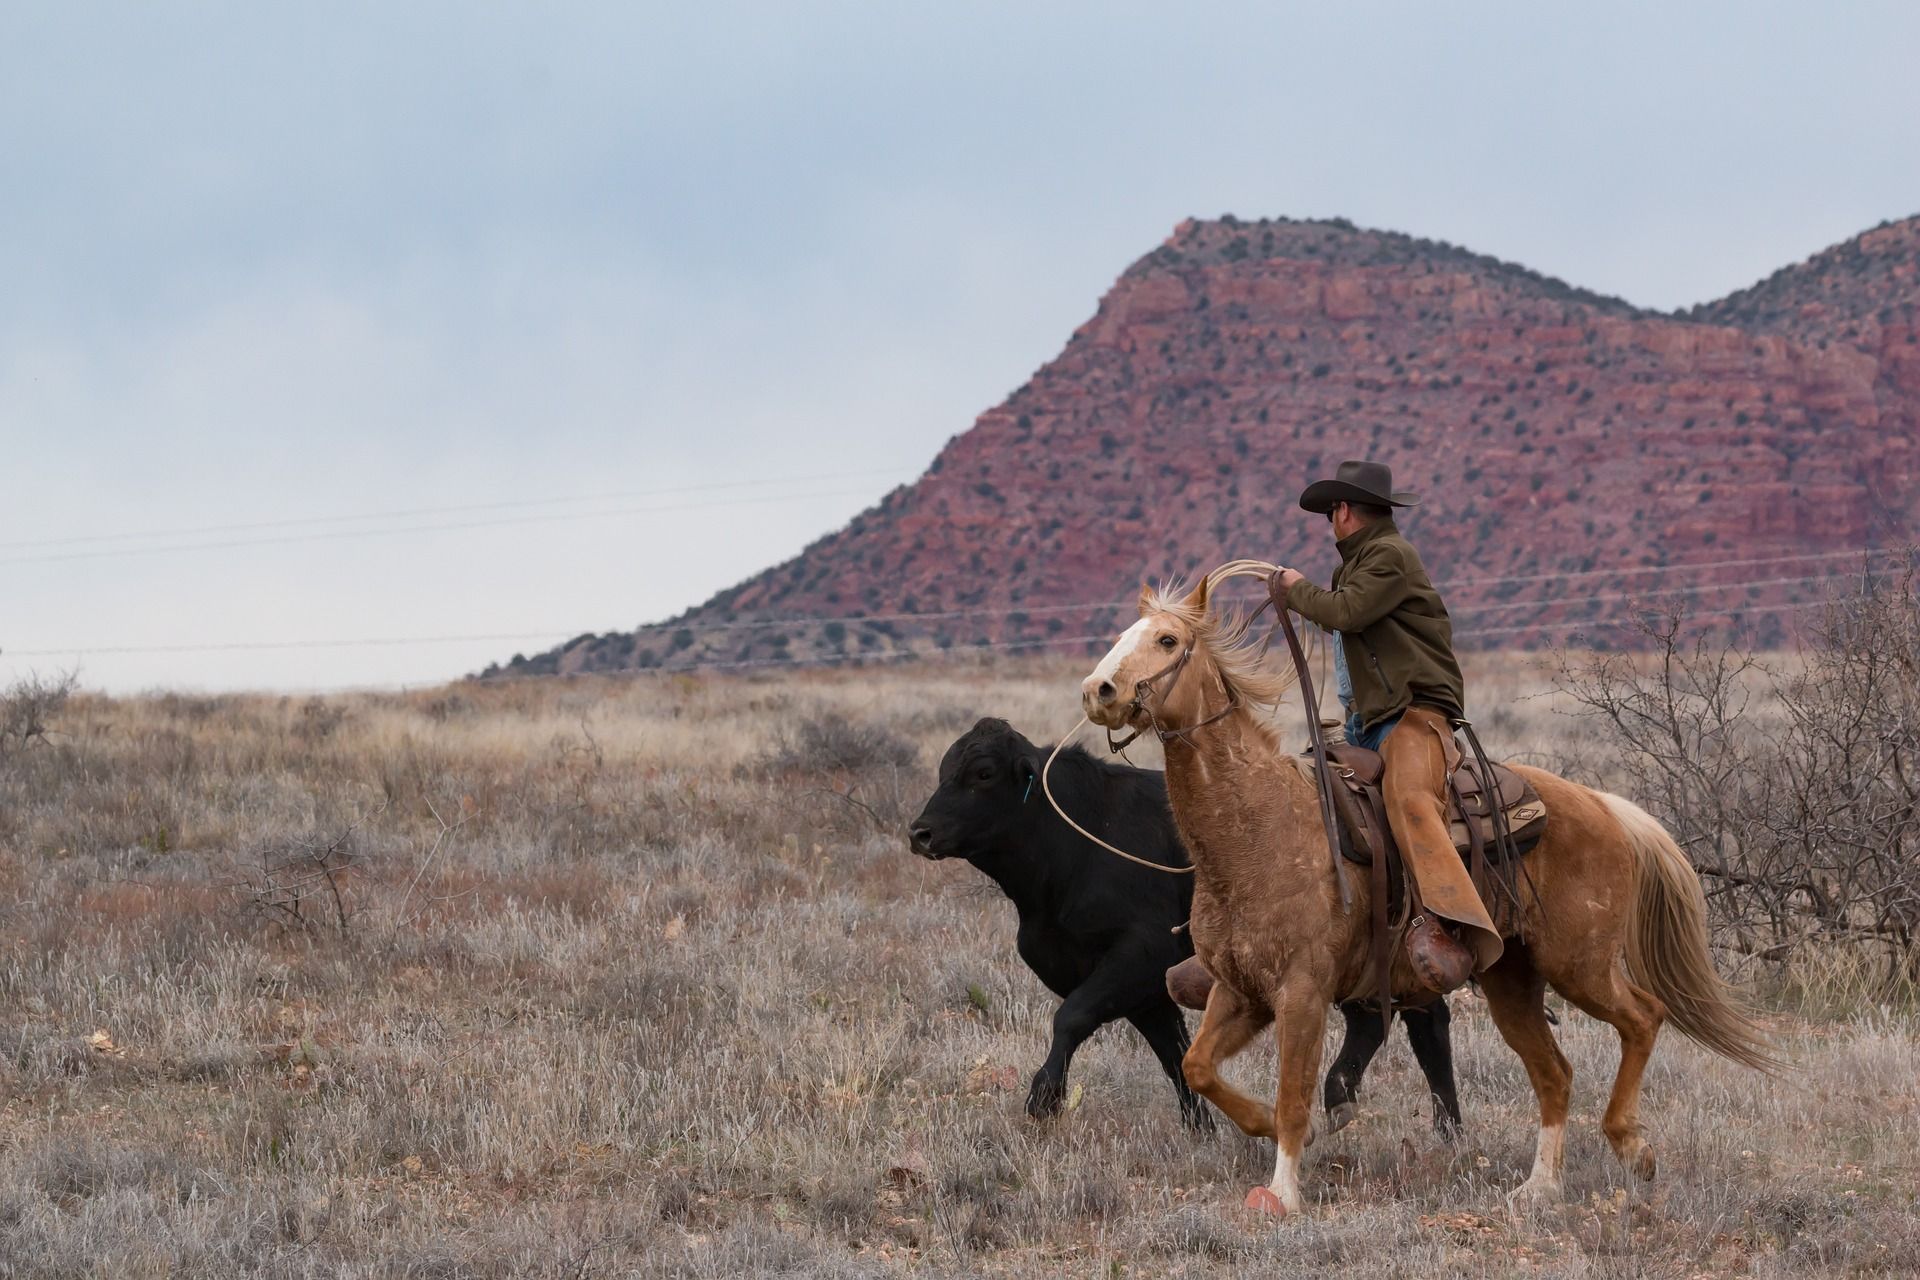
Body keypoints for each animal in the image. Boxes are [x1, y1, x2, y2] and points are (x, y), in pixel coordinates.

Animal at [1078, 572, 1775, 1217]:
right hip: (1511, 980)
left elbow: (1293, 1096)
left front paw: (1283, 1192)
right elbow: (1199, 1067)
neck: (1259, 830)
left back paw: (1631, 1144)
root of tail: (1605, 806)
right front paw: (1264, 1128)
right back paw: (1539, 1187)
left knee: (1642, 1017)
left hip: (1579, 964)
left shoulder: (1302, 992)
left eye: (1167, 640)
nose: (1098, 692)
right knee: (1554, 1073)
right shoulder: (1240, 989)